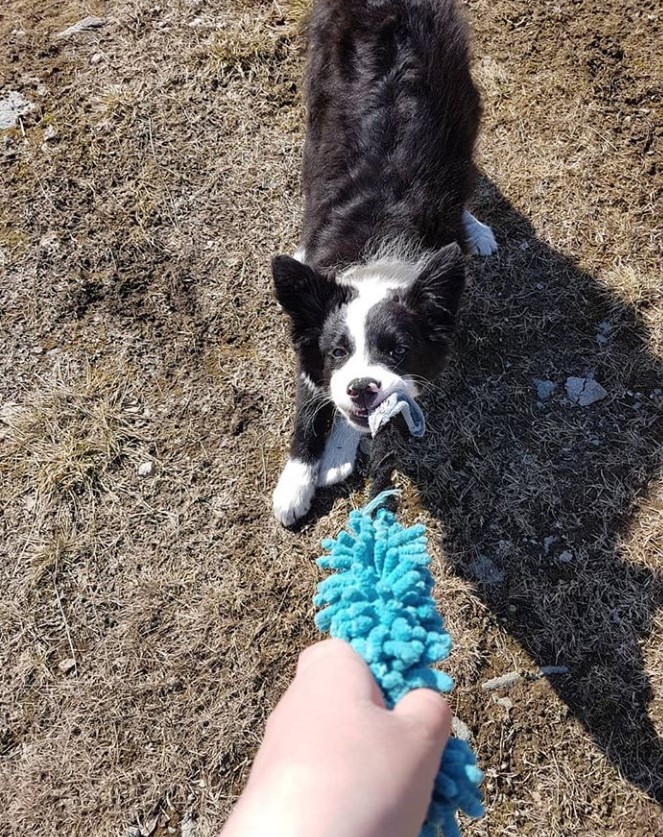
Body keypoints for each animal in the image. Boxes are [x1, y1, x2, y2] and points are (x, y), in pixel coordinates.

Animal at [272, 0, 496, 524]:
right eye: (338, 351)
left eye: (398, 350)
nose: (361, 388)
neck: (379, 249)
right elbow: (310, 394)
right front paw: (296, 481)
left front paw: (337, 451)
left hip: (463, 104)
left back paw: (474, 229)